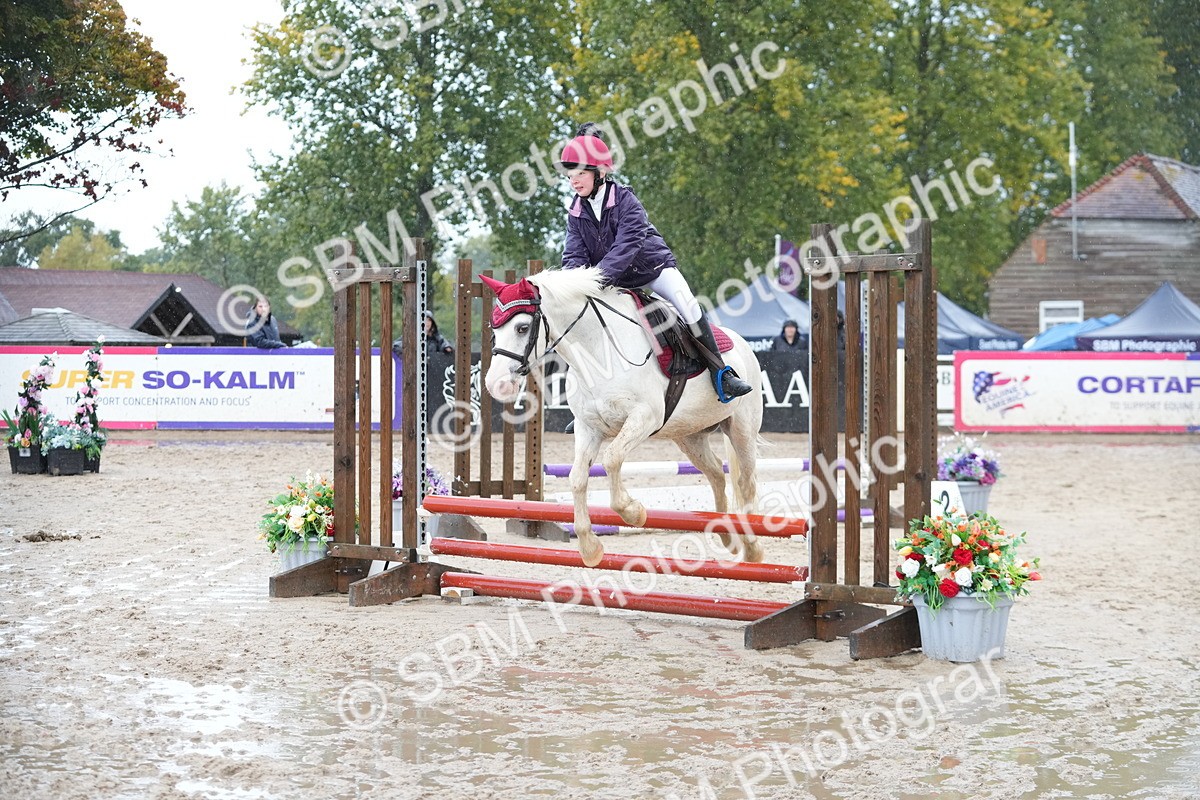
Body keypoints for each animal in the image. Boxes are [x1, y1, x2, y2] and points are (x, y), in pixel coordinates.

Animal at [481, 268, 765, 568]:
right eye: (494, 329)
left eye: (522, 328)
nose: (496, 384)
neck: (597, 352)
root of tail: (742, 343)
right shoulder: (588, 428)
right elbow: (577, 477)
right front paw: (590, 547)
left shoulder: (644, 418)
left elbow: (612, 458)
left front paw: (633, 512)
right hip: (688, 435)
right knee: (716, 472)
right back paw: (727, 535)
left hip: (741, 429)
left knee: (746, 483)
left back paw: (752, 547)